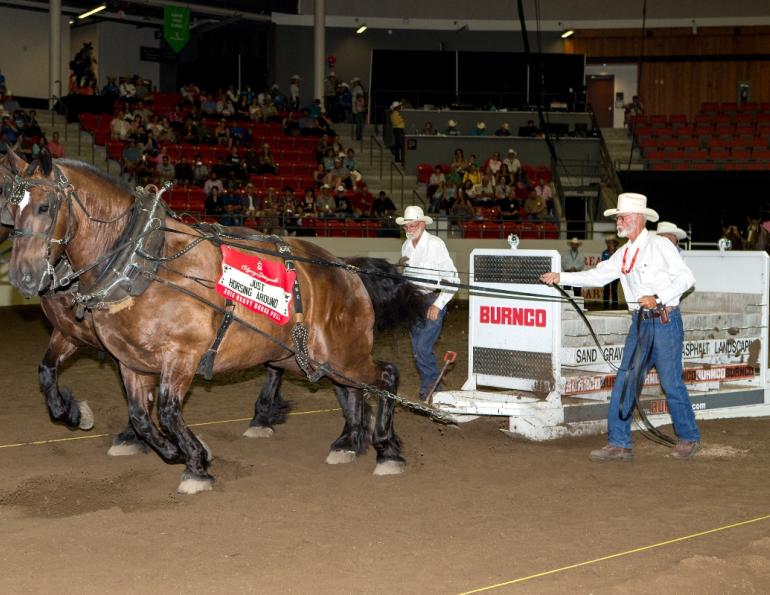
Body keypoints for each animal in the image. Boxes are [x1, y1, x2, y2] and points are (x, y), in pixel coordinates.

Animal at [3, 150, 426, 494]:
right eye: (11, 207)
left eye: (45, 206)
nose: (23, 276)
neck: (142, 264)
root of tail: (345, 269)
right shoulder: (127, 359)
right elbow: (138, 414)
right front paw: (172, 449)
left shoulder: (181, 356)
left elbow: (167, 410)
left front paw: (195, 462)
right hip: (306, 356)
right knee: (349, 388)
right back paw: (348, 442)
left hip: (342, 352)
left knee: (385, 377)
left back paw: (385, 449)